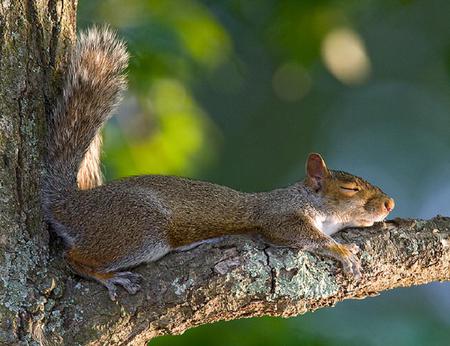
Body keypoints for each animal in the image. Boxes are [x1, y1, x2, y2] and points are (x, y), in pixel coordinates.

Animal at [42, 28, 394, 302]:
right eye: (350, 188)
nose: (390, 204)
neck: (307, 200)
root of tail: (70, 204)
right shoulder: (279, 215)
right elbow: (301, 234)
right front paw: (342, 251)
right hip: (139, 229)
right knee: (72, 257)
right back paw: (107, 276)